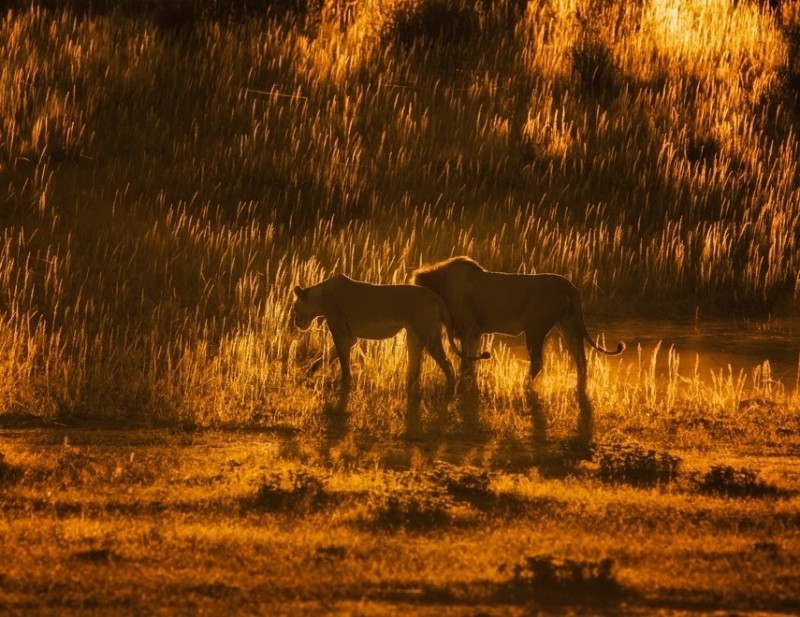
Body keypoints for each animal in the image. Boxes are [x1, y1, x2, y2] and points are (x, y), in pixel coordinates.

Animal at [290, 274, 490, 392]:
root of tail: (433, 295)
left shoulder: (340, 331)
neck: (320, 298)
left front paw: (345, 382)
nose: (296, 323)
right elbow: (331, 356)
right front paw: (310, 371)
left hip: (429, 335)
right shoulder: (350, 337)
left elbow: (341, 358)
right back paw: (408, 387)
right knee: (415, 365)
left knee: (446, 362)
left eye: (294, 308)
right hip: (415, 336)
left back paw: (450, 390)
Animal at [412, 258, 624, 436]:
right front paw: (469, 383)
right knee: (580, 357)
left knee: (538, 362)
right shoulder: (475, 332)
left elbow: (465, 361)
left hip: (535, 327)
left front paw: (464, 385)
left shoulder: (469, 328)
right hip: (568, 324)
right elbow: (470, 361)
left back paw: (523, 386)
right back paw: (580, 388)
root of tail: (569, 285)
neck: (442, 283)